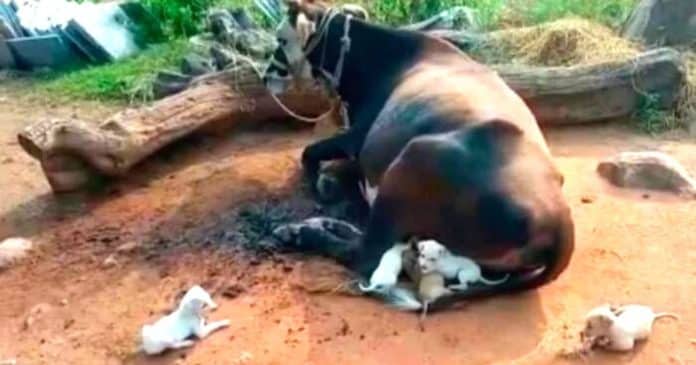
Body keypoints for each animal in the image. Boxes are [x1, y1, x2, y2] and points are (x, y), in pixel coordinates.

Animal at [258, 0, 572, 302]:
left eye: (281, 39)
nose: (265, 76)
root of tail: (560, 223)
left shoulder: (357, 139)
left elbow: (309, 152)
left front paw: (320, 184)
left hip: (412, 158)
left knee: (366, 252)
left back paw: (301, 232)